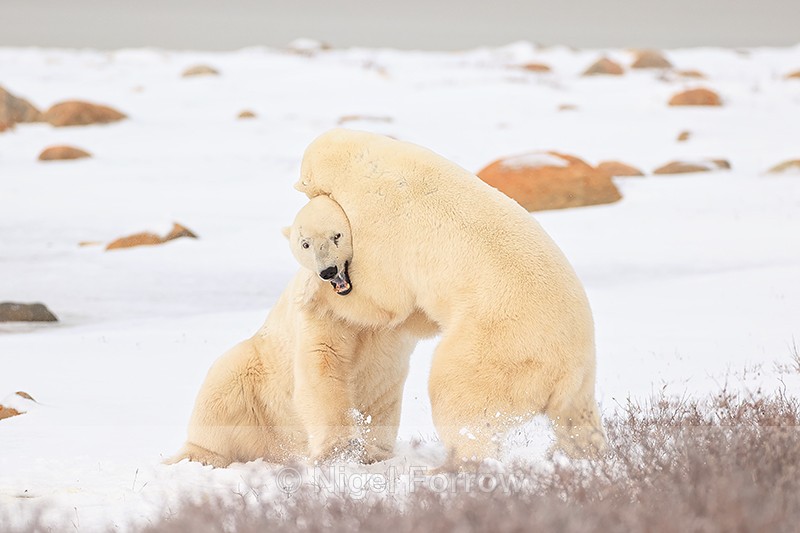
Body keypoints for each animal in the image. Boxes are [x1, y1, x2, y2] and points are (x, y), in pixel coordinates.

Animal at [168, 196, 435, 467]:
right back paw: (197, 455)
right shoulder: (321, 314)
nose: (327, 271)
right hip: (254, 376)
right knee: (222, 387)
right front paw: (339, 449)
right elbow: (322, 363)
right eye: (305, 243)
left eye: (337, 235)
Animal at [295, 129, 607, 466]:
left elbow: (386, 297)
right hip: (579, 377)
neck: (368, 161)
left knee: (458, 396)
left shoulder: (378, 221)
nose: (328, 273)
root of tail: (567, 367)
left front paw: (316, 295)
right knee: (576, 419)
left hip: (498, 346)